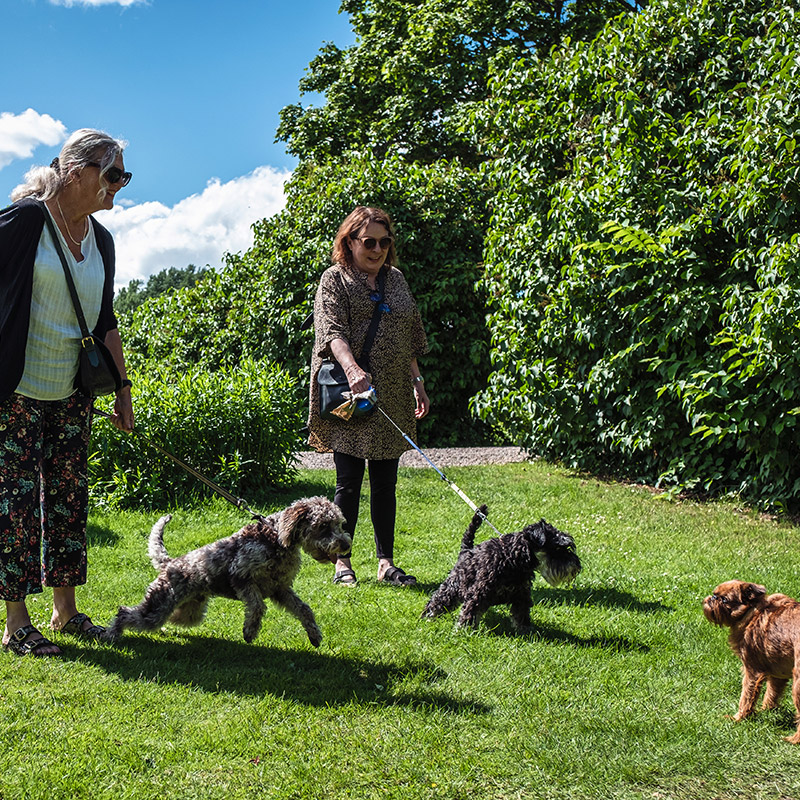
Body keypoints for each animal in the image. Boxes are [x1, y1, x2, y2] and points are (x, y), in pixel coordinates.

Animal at [101, 496, 350, 648]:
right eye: (323, 526)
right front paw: (250, 631)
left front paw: (314, 635)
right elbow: (257, 606)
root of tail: (169, 563)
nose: (346, 545)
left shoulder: (280, 589)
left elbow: (304, 609)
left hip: (190, 611)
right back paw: (111, 635)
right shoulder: (240, 577)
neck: (276, 539)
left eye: (339, 523)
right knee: (125, 613)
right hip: (158, 606)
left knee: (170, 618)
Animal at [418, 506, 580, 632]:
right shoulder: (478, 594)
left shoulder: (521, 596)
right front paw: (463, 631)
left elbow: (522, 617)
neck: (513, 558)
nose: (577, 566)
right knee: (437, 601)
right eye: (557, 548)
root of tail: (466, 550)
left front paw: (527, 633)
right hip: (452, 586)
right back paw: (427, 617)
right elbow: (469, 612)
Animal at [704, 580, 800, 744]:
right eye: (715, 594)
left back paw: (794, 739)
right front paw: (766, 711)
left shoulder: (752, 671)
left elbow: (746, 696)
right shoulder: (777, 674)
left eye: (724, 600)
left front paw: (738, 718)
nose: (712, 598)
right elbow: (771, 694)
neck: (752, 612)